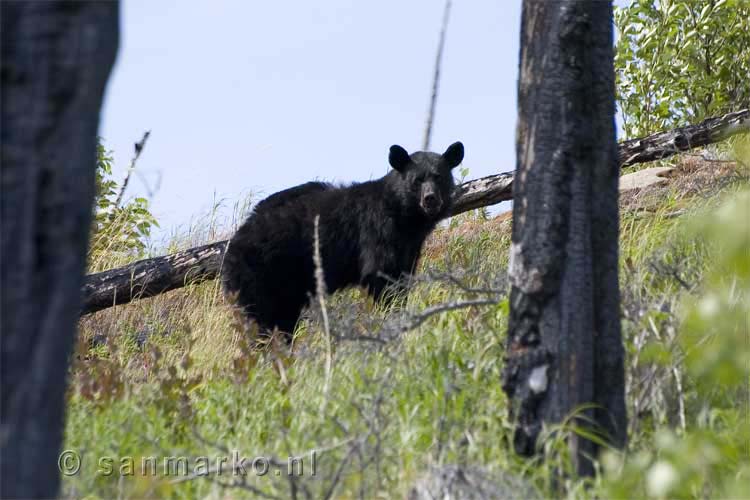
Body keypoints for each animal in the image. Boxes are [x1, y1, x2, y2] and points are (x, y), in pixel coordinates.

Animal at [223, 142, 464, 340]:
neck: (404, 216)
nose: (430, 199)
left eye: (439, 177)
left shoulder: (409, 246)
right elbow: (381, 275)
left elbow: (401, 277)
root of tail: (232, 245)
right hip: (260, 274)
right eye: (417, 180)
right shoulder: (377, 232)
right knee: (261, 319)